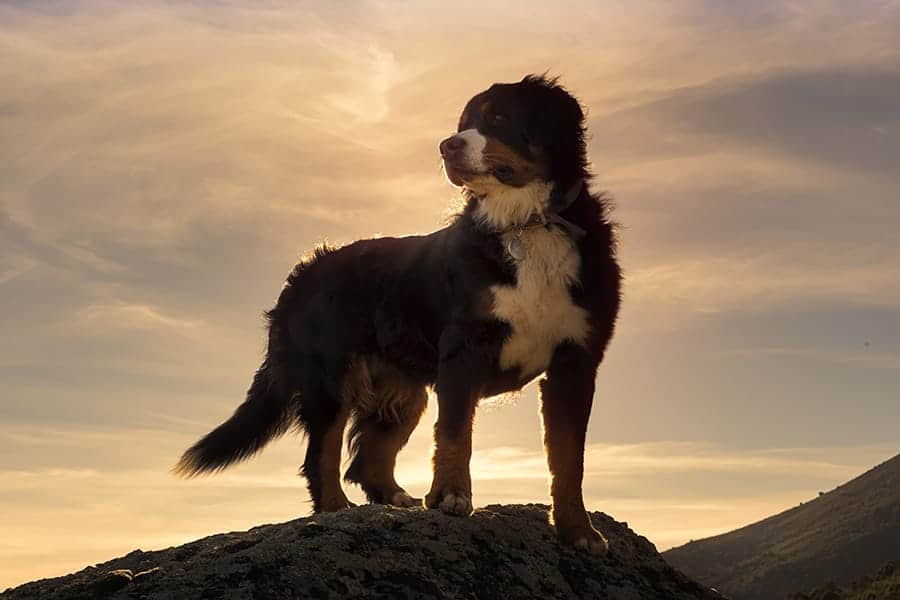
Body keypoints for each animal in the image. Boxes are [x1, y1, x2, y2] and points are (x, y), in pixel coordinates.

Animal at [179, 75, 624, 556]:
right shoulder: (463, 350)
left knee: (367, 458)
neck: (529, 224)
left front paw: (578, 530)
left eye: (499, 117)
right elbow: (455, 433)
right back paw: (336, 509)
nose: (446, 146)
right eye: (462, 125)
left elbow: (568, 457)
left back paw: (394, 498)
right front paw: (450, 496)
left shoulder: (575, 361)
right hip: (332, 378)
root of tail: (306, 270)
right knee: (322, 453)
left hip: (403, 391)